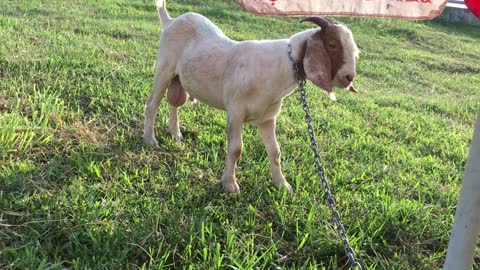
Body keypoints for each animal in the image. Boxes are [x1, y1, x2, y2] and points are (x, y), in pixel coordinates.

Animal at [142, 0, 360, 194]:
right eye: (332, 44)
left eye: (354, 51)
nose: (349, 77)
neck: (278, 67)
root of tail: (170, 21)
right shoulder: (236, 111)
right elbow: (236, 149)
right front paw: (229, 184)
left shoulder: (267, 118)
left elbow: (275, 151)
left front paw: (282, 184)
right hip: (164, 69)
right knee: (152, 104)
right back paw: (150, 139)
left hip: (179, 79)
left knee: (175, 103)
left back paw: (175, 133)